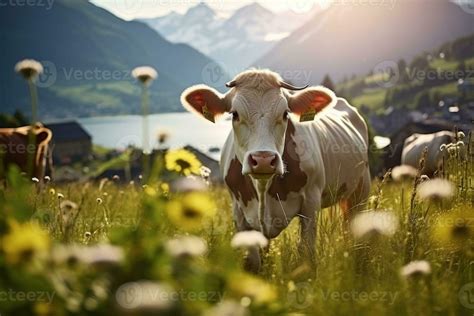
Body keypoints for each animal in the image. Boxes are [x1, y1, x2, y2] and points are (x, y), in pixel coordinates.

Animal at [180, 69, 368, 272]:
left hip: (361, 188)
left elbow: (306, 251)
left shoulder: (311, 202)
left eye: (285, 114)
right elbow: (253, 261)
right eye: (234, 114)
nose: (263, 160)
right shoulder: (238, 210)